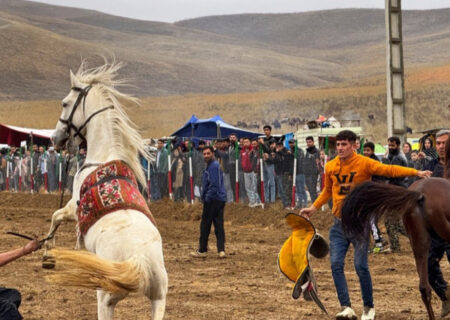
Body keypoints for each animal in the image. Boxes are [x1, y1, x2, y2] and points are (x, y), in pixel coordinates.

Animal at [44, 61, 168, 318]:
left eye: (64, 103)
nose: (54, 138)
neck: (102, 156)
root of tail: (139, 260)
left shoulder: (73, 207)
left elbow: (56, 216)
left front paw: (47, 253)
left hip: (106, 299)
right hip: (159, 300)